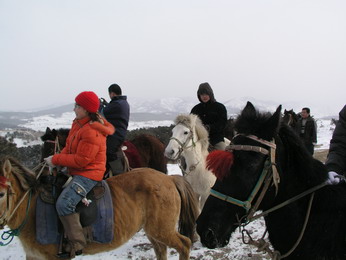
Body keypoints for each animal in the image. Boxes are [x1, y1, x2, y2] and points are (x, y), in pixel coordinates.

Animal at [0, 156, 199, 260]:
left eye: (1, 193)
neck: (32, 210)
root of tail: (169, 179)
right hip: (152, 231)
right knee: (161, 249)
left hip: (162, 229)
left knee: (184, 244)